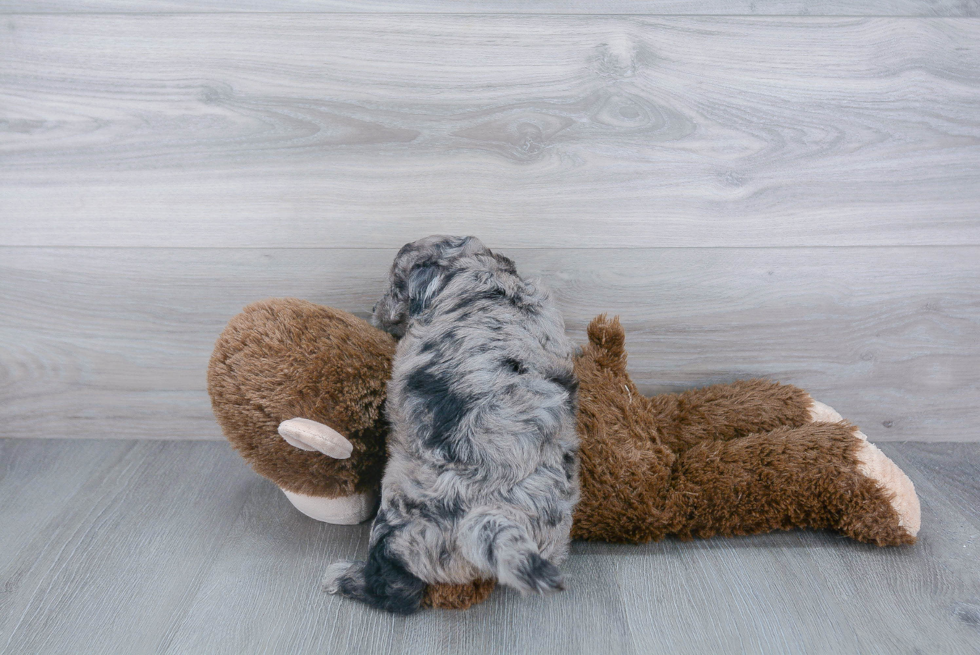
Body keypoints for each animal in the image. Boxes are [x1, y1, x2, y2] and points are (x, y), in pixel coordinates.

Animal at [322, 234, 580, 616]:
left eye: (393, 288)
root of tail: (495, 517)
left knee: (397, 590)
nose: (373, 309)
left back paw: (342, 578)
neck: (479, 271)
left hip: (401, 517)